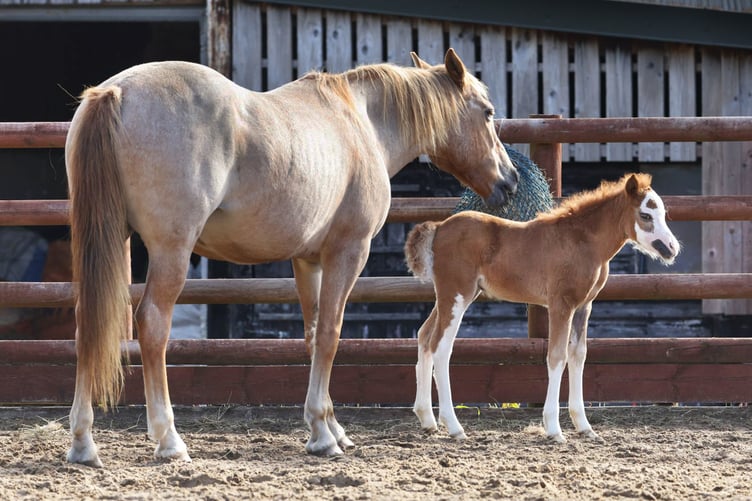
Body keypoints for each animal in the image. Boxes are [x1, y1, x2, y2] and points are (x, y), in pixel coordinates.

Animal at [64, 48, 519, 466]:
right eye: (488, 113)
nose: (510, 181)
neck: (363, 124)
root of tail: (115, 92)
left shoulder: (308, 261)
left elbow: (313, 335)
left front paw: (332, 427)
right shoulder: (347, 252)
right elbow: (332, 334)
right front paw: (321, 434)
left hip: (102, 240)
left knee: (88, 322)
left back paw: (83, 442)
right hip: (171, 251)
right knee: (153, 325)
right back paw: (168, 438)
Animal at [404, 173, 680, 442]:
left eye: (663, 213)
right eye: (645, 215)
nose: (672, 248)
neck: (582, 241)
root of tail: (439, 228)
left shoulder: (584, 306)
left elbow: (578, 355)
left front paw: (584, 427)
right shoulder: (561, 304)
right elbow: (557, 356)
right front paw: (554, 429)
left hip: (451, 297)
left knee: (424, 336)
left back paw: (427, 420)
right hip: (457, 294)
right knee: (441, 347)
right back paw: (454, 427)